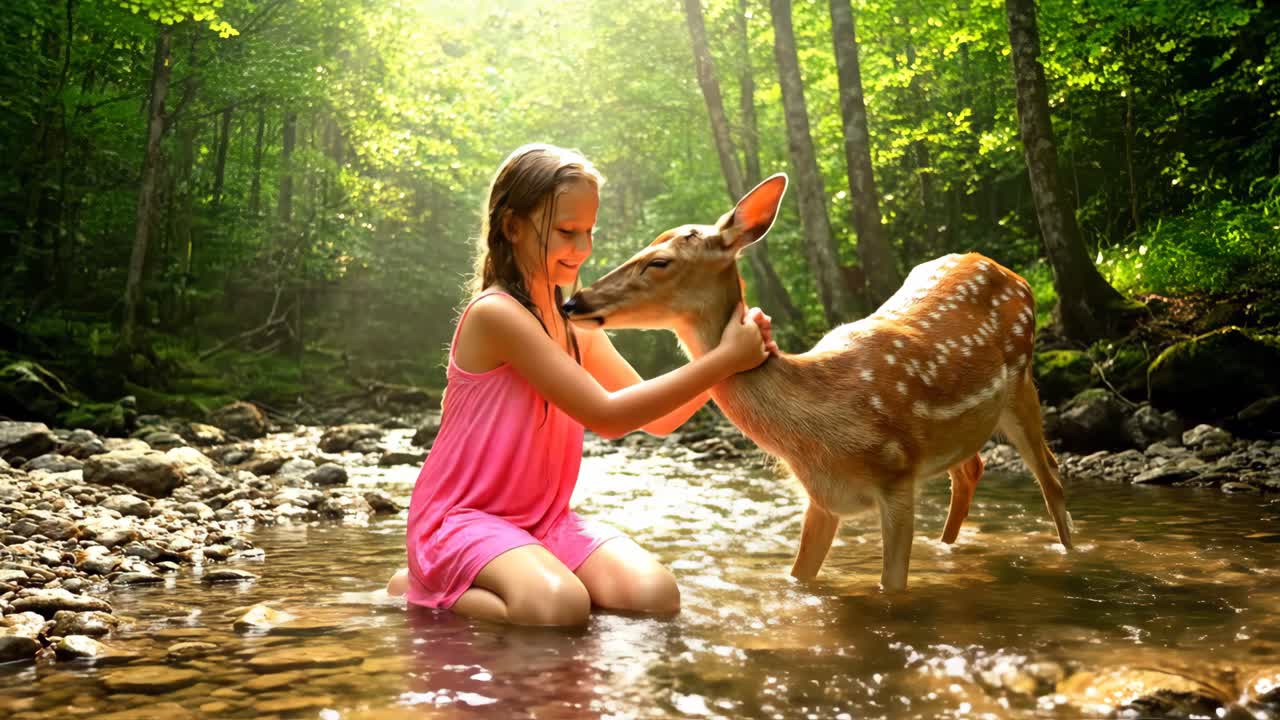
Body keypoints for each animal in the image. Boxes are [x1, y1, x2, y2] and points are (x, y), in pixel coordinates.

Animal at [562, 174, 1074, 591]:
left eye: (660, 262)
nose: (573, 302)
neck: (823, 426)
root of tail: (1013, 273)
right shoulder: (823, 498)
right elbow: (799, 578)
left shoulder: (896, 476)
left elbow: (892, 586)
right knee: (972, 470)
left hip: (1022, 382)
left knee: (1051, 474)